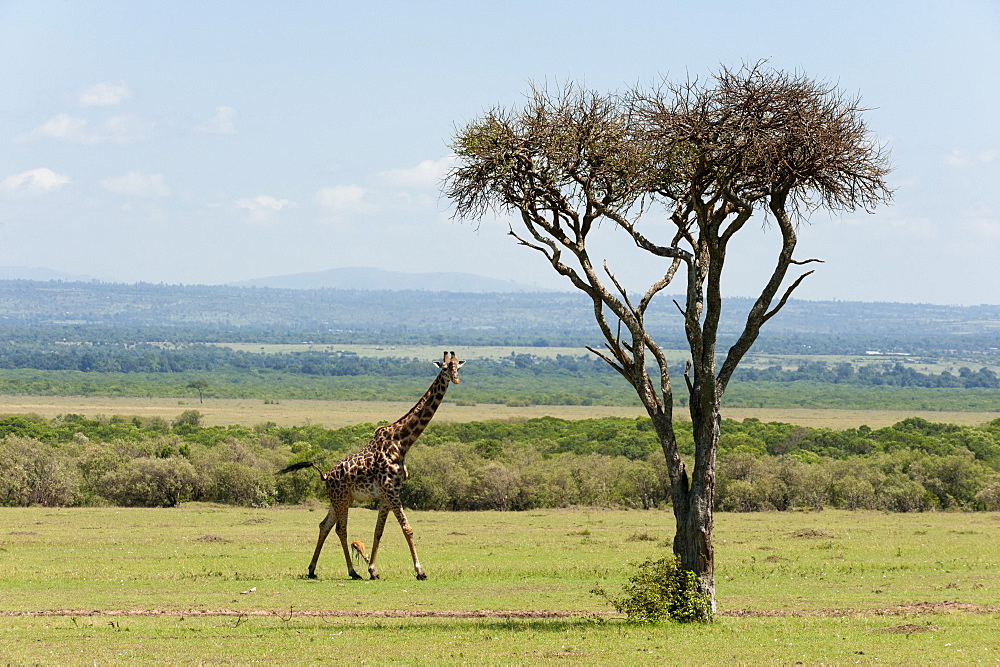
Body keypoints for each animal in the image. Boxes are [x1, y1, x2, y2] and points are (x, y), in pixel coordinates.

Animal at [280, 350, 466, 580]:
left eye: (458, 366)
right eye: (445, 367)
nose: (456, 379)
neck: (402, 442)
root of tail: (325, 475)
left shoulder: (387, 494)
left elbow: (379, 531)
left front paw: (373, 570)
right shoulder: (391, 490)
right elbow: (407, 528)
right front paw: (420, 571)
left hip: (338, 499)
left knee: (324, 525)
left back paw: (313, 569)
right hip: (342, 499)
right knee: (340, 528)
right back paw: (352, 571)